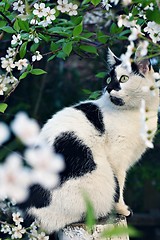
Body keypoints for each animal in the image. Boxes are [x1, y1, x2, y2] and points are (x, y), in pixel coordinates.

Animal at [22, 48, 159, 234]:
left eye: (123, 78)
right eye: (108, 79)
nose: (108, 88)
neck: (140, 112)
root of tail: (32, 216)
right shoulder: (117, 159)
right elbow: (120, 186)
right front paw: (122, 209)